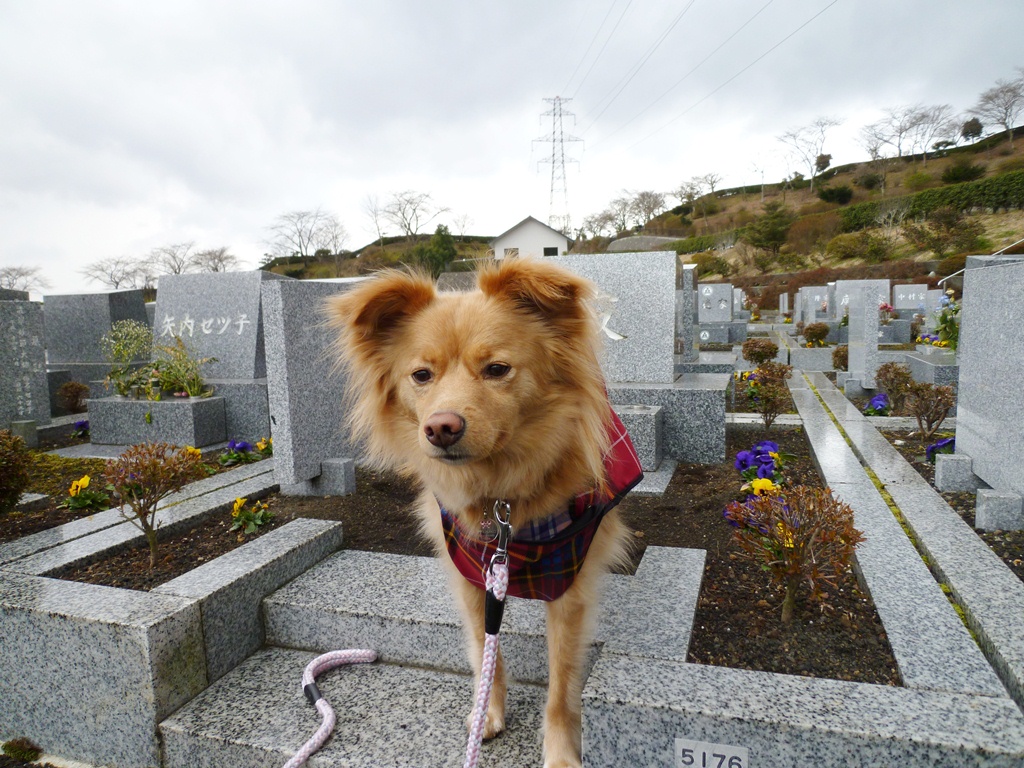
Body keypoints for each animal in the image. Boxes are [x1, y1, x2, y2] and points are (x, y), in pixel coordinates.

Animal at [329, 260, 638, 768]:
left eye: (497, 370)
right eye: (421, 375)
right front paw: (485, 714)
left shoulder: (570, 586)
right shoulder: (472, 572)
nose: (441, 428)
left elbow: (561, 683)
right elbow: (485, 648)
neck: (501, 495)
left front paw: (560, 751)